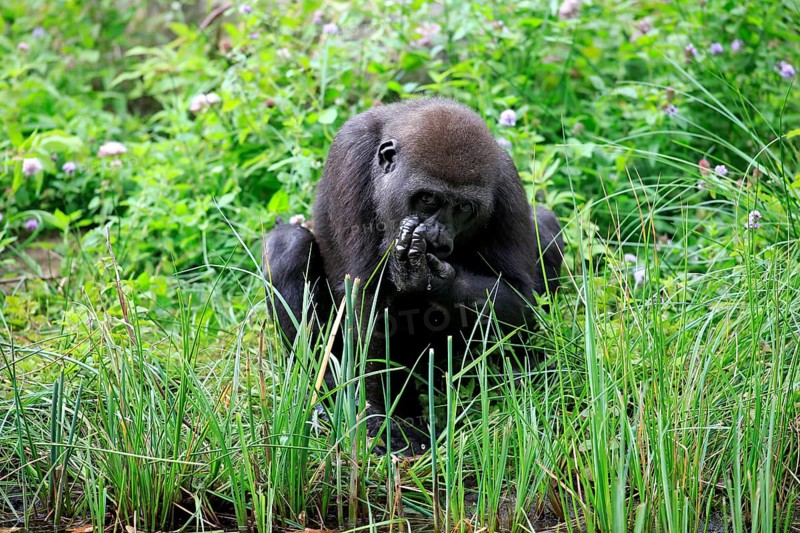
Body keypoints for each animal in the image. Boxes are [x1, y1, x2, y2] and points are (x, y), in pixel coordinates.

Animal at [263, 97, 563, 453]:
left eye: (464, 208)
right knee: (288, 245)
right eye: (428, 198)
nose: (436, 236)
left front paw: (432, 279)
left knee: (545, 224)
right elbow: (368, 301)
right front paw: (383, 421)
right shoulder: (352, 154)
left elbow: (520, 298)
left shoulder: (505, 180)